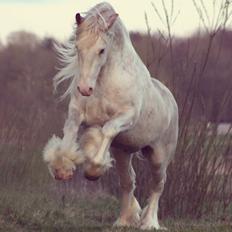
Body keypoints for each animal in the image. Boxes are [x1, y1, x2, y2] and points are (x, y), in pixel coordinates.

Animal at [43, 1, 178, 230]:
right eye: (77, 47)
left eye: (102, 50)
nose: (84, 89)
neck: (105, 80)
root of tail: (171, 100)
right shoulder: (77, 114)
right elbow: (69, 135)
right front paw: (62, 169)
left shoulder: (126, 117)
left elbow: (107, 129)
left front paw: (93, 170)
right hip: (123, 152)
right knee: (128, 182)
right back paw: (124, 220)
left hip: (159, 156)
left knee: (158, 185)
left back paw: (149, 222)